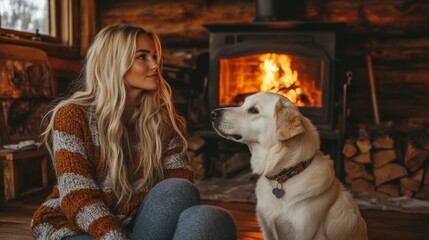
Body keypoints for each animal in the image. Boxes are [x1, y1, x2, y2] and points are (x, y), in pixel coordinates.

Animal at [211, 92, 368, 240]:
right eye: (243, 103)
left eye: (254, 110)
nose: (213, 114)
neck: (286, 173)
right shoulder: (267, 229)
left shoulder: (304, 233)